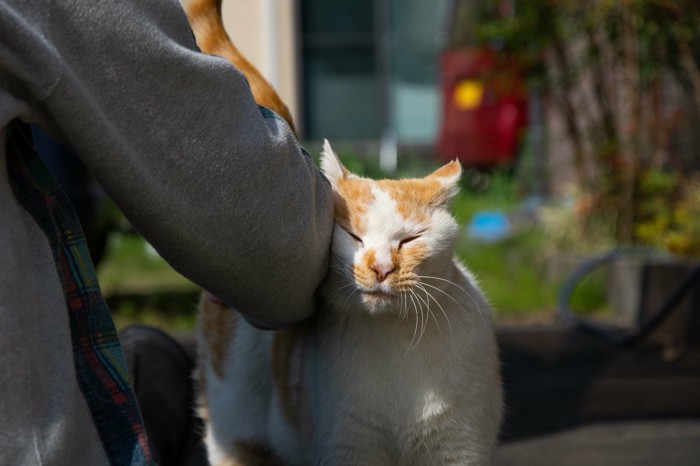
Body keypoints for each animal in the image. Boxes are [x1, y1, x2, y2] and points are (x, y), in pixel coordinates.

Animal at [196, 140, 504, 464]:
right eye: (353, 236)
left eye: (410, 239)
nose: (382, 268)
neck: (391, 334)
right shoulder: (347, 448)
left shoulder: (459, 450)